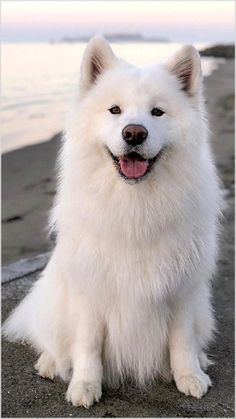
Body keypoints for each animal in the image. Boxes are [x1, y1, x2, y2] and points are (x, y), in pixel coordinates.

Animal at [3, 37, 221, 408]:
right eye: (115, 110)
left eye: (157, 112)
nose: (134, 133)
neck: (135, 207)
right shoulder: (91, 290)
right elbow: (88, 346)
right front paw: (85, 385)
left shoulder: (182, 291)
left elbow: (182, 341)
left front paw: (189, 376)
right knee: (51, 339)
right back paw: (50, 363)